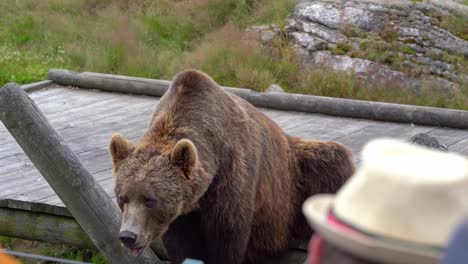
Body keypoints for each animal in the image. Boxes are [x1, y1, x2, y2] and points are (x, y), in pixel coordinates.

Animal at [108, 69, 352, 262]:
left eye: (150, 199)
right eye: (122, 198)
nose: (128, 236)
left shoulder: (231, 174)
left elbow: (228, 236)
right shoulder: (183, 212)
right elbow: (181, 244)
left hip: (295, 175)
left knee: (333, 161)